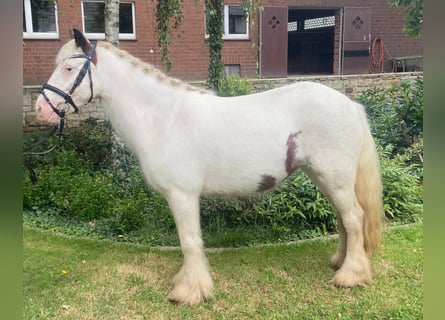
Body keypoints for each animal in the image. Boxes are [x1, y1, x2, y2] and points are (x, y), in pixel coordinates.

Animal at [34, 29, 382, 304]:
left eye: (69, 67)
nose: (41, 109)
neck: (162, 118)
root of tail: (349, 104)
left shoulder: (182, 195)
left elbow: (190, 242)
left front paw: (189, 292)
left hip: (333, 177)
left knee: (354, 219)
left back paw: (350, 276)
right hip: (326, 177)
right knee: (344, 220)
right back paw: (340, 262)